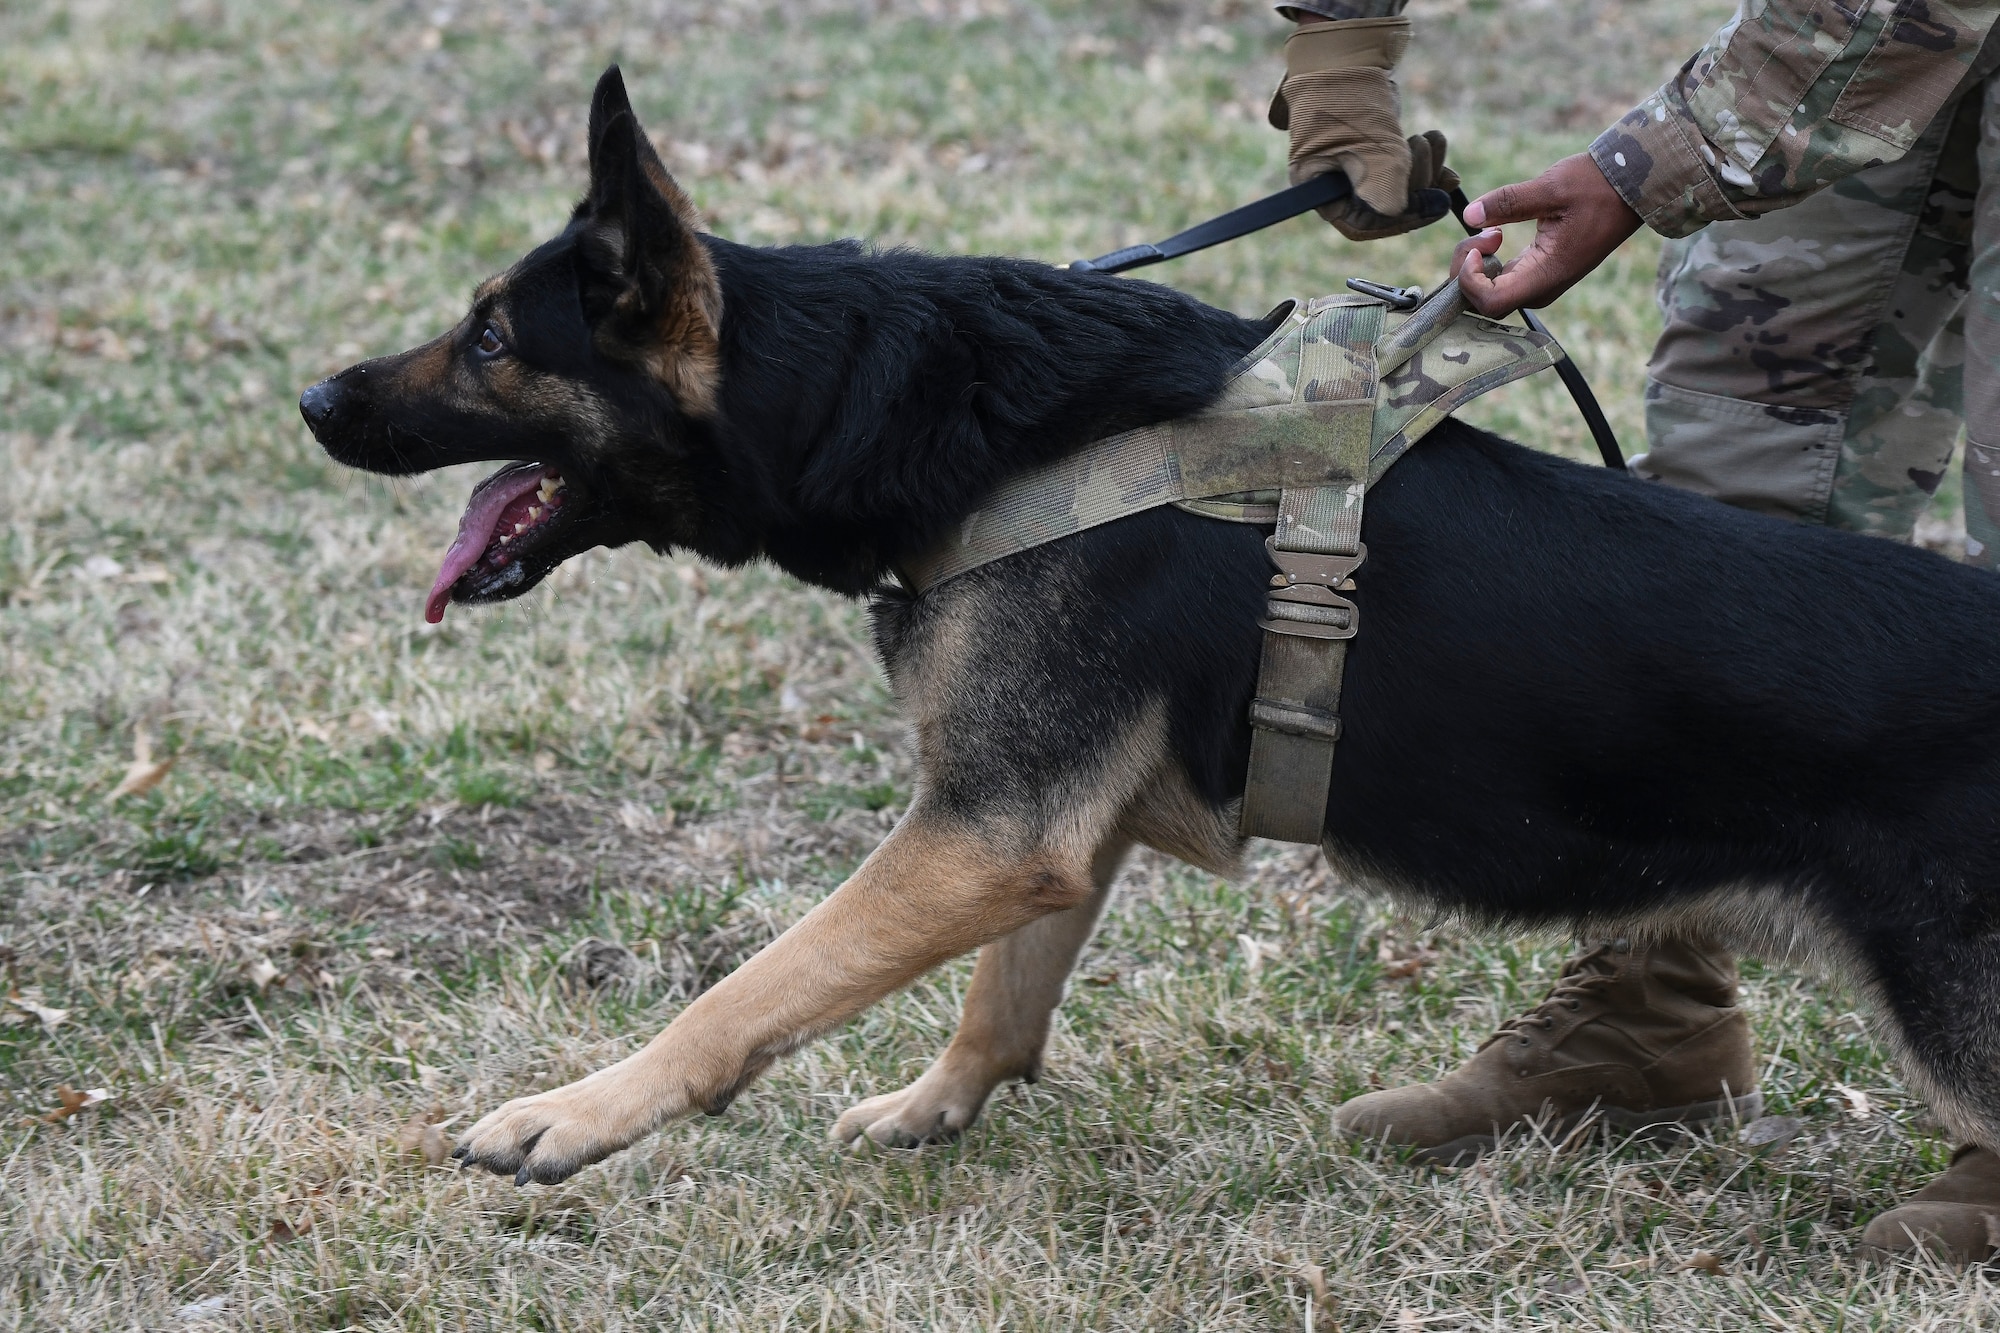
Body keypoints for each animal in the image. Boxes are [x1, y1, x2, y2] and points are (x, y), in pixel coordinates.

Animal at [300, 65, 2000, 1184]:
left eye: (493, 338)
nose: (312, 400)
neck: (908, 410)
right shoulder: (1048, 829)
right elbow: (1005, 994)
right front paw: (933, 1107)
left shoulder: (981, 828)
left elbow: (754, 986)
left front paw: (577, 1113)